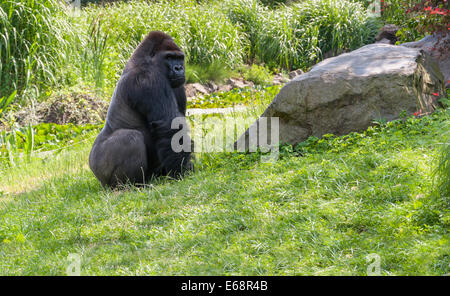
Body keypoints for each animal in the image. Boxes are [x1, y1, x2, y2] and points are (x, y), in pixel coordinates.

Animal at [89, 30, 192, 187]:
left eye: (179, 58)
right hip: (99, 167)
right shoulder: (148, 79)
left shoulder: (178, 84)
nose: (179, 68)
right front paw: (180, 171)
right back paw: (130, 185)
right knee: (131, 138)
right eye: (169, 57)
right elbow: (170, 125)